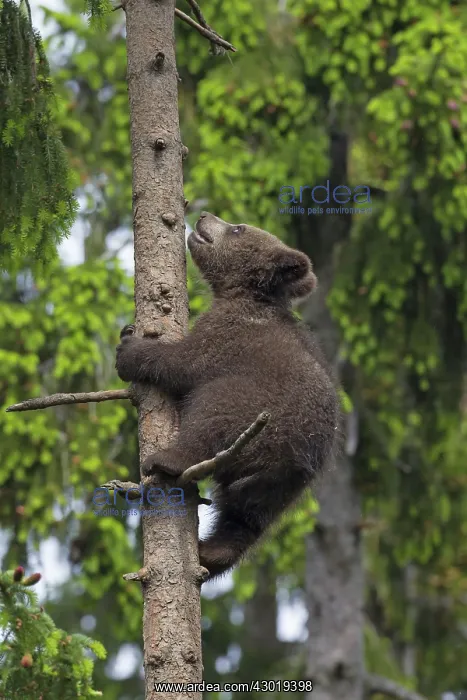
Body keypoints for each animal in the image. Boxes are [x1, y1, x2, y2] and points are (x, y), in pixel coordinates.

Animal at [115, 212, 339, 580]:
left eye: (238, 228)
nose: (204, 215)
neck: (242, 294)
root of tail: (291, 459)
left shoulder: (227, 334)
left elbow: (184, 362)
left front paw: (130, 349)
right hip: (281, 491)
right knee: (244, 520)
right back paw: (211, 552)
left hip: (254, 410)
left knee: (210, 415)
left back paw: (166, 460)